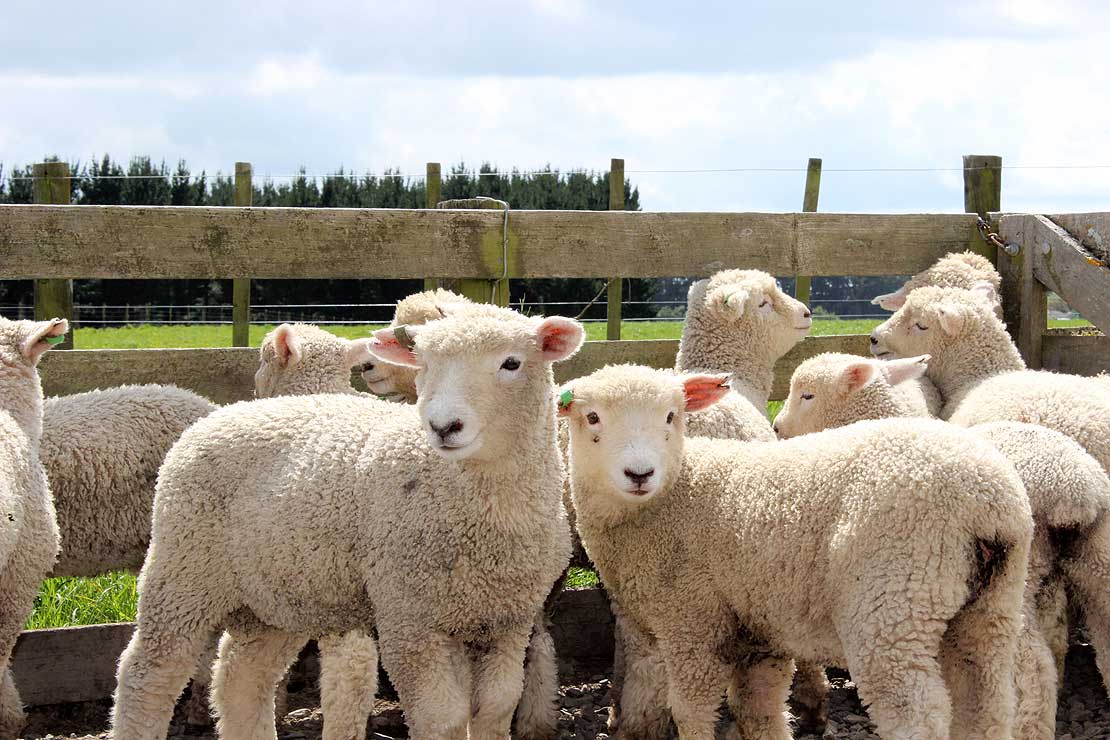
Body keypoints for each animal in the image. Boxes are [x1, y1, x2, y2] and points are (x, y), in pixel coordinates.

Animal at [560, 364, 1032, 740]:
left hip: (893, 604)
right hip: (990, 608)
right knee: (988, 704)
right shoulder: (757, 631)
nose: (639, 473)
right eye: (592, 417)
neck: (676, 493)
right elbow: (760, 712)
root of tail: (987, 498)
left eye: (672, 416)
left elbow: (692, 712)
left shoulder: (692, 624)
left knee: (916, 715)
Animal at [775, 351, 1110, 738]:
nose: (777, 427)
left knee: (1033, 666)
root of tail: (1075, 489)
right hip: (1091, 558)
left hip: (1017, 582)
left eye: (808, 395)